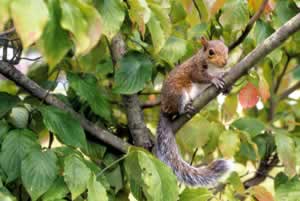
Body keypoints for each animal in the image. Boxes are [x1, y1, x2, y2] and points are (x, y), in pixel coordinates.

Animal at [156, 36, 233, 187]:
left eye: (227, 49)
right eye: (211, 52)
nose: (225, 62)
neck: (213, 67)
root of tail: (164, 109)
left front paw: (227, 85)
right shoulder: (194, 68)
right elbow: (201, 77)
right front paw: (214, 79)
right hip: (178, 94)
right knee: (178, 108)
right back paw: (185, 108)